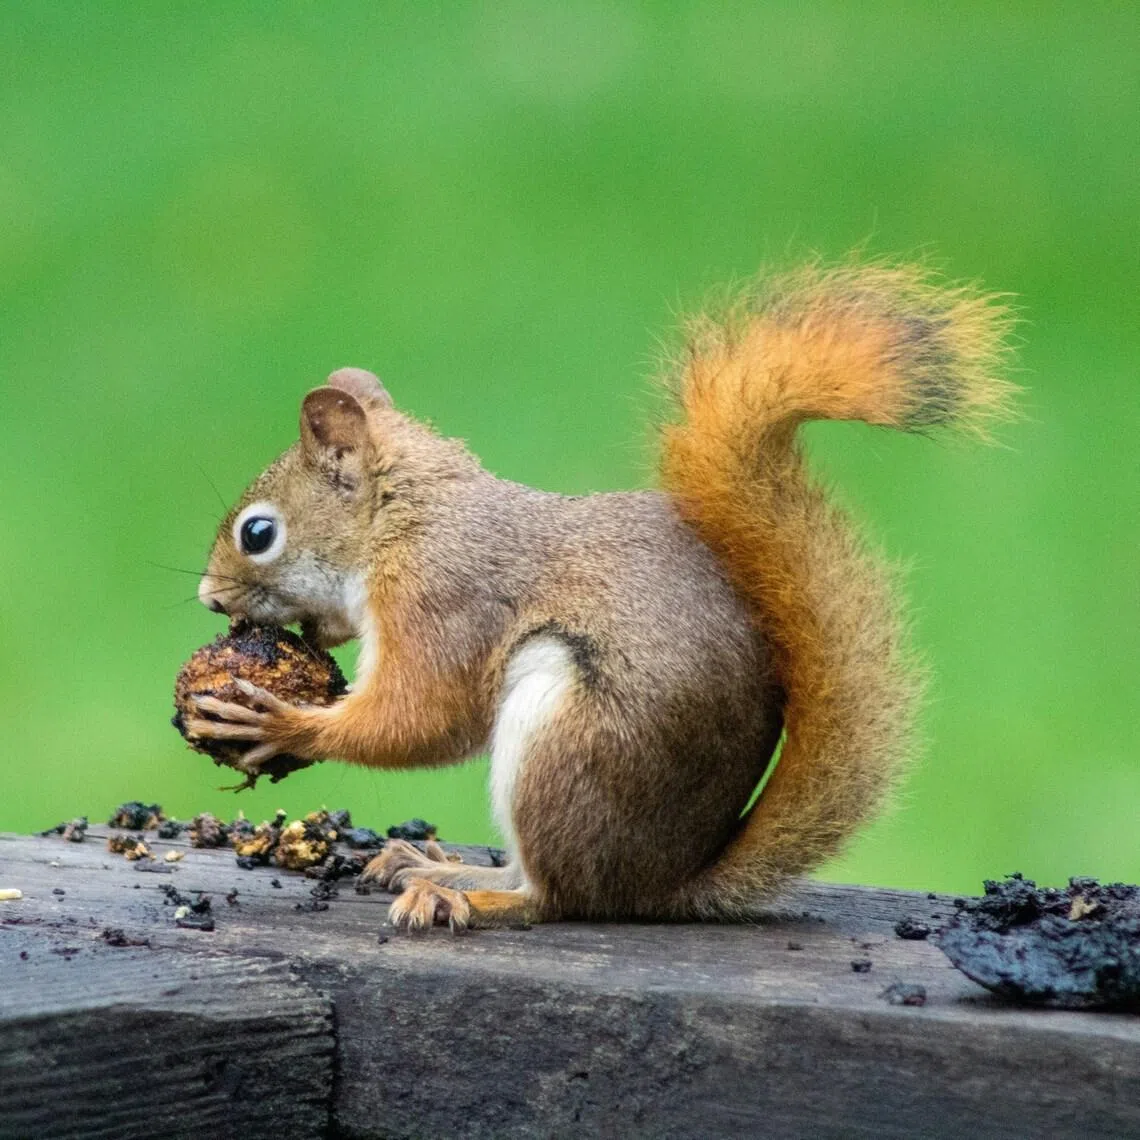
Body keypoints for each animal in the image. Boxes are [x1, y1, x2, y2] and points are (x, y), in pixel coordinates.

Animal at [186, 261, 1014, 931]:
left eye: (258, 533)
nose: (208, 598)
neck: (406, 521)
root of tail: (663, 884)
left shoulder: (444, 599)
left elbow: (423, 717)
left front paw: (283, 722)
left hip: (565, 740)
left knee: (556, 897)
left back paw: (465, 895)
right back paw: (432, 864)